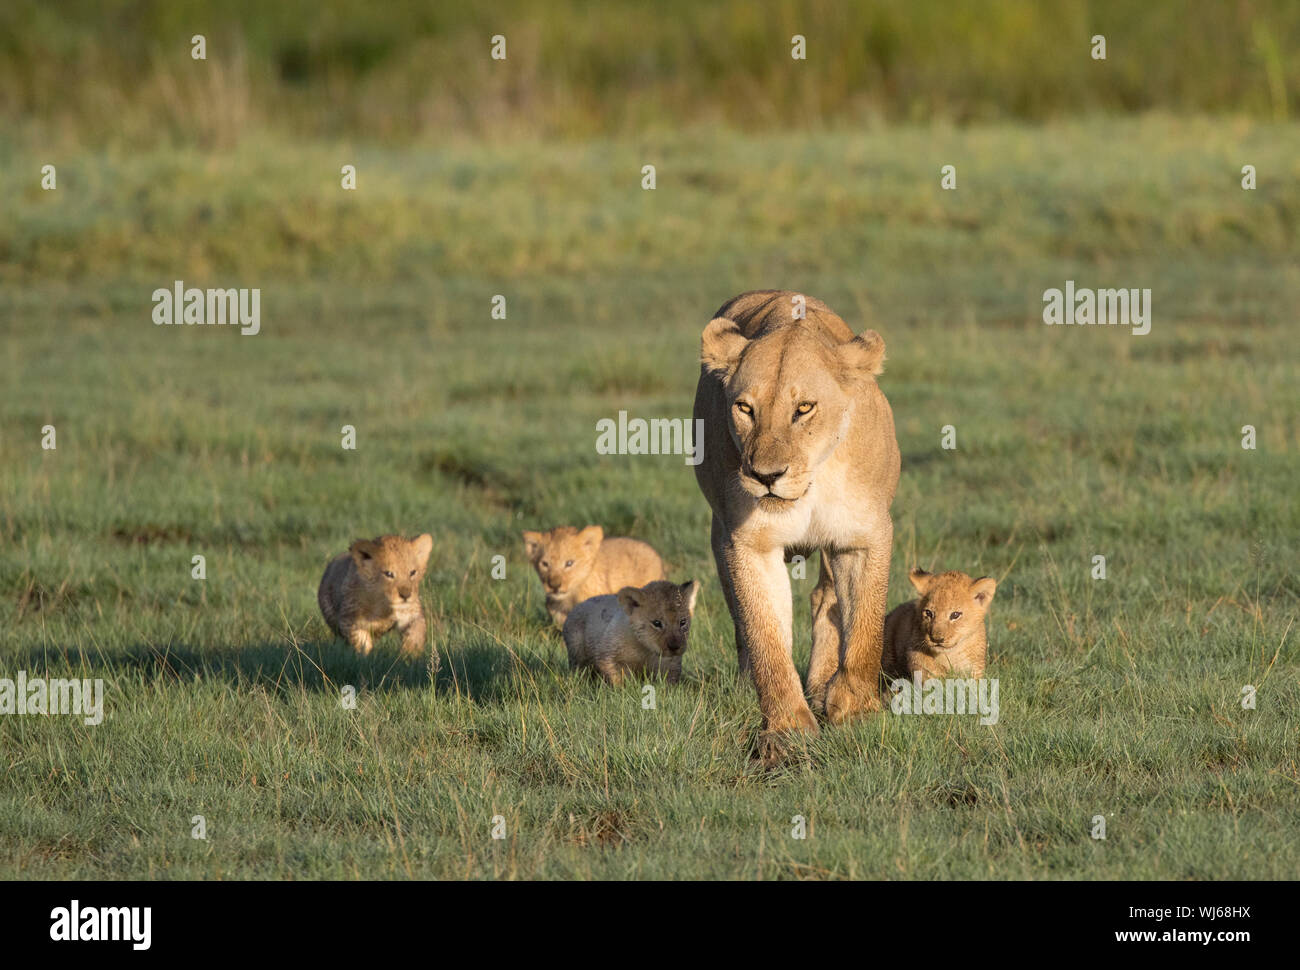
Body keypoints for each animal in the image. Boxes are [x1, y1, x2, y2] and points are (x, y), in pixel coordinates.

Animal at [692, 290, 900, 753]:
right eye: (745, 408)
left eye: (803, 408)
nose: (765, 476)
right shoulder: (749, 543)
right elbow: (766, 635)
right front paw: (788, 730)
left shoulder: (862, 537)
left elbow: (865, 626)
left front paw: (854, 711)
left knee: (827, 600)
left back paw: (822, 686)